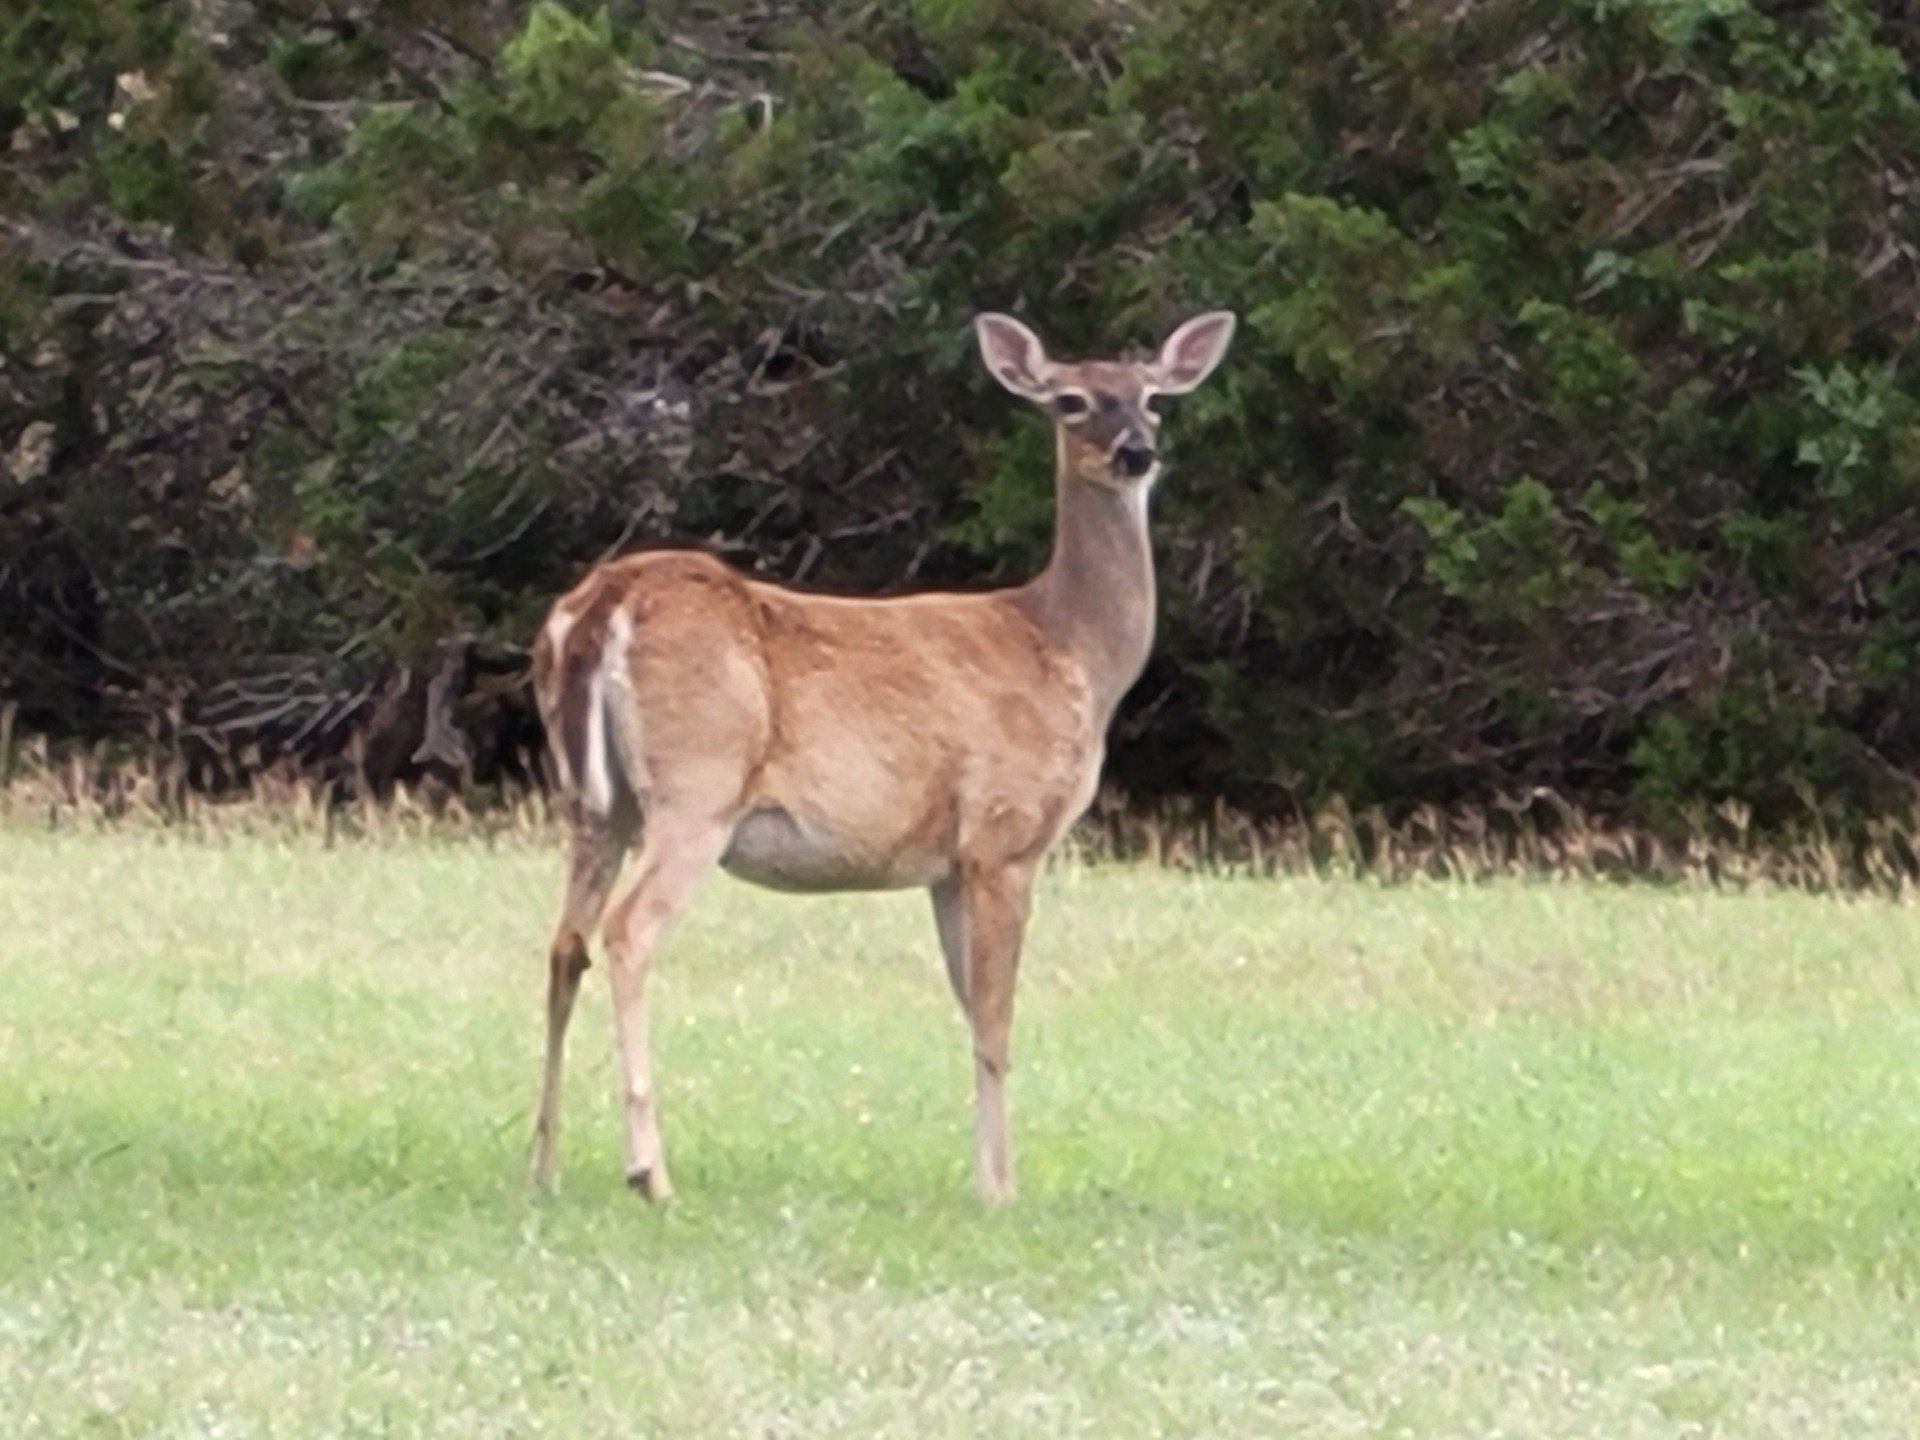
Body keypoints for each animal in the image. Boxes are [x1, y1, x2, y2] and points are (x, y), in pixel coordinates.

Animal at [526, 310, 1236, 1202]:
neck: (1072, 649)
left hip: (594, 803)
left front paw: (986, 1174)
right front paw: (1000, 1188)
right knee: (627, 932)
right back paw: (649, 1171)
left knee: (565, 945)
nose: (1135, 451)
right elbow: (997, 1017)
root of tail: (602, 603)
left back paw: (543, 1164)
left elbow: (969, 1007)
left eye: (1152, 398)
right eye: (1070, 401)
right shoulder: (1004, 835)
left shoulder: (945, 864)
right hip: (697, 787)